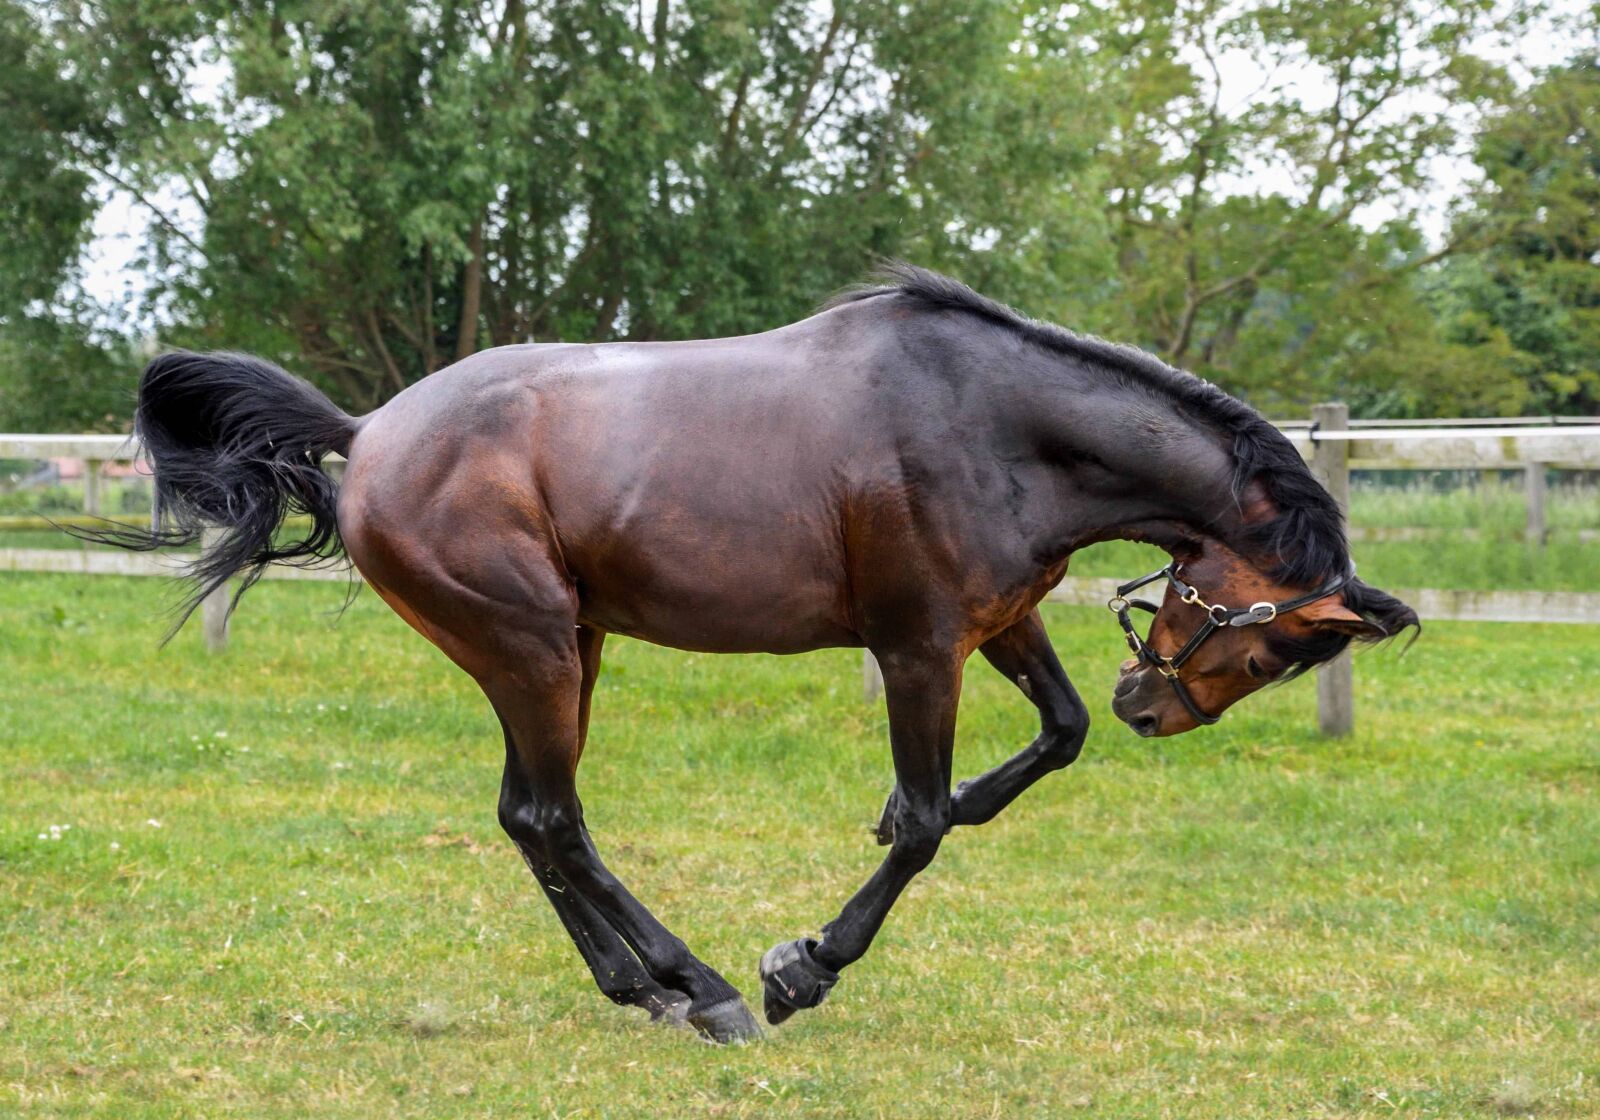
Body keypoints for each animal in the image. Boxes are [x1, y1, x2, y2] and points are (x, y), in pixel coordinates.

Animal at [82, 264, 1418, 1043]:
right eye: (1267, 649)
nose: (1156, 703)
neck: (998, 423)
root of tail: (369, 433)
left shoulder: (996, 623)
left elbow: (1050, 737)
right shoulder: (919, 645)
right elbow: (925, 822)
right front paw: (801, 965)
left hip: (566, 648)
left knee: (530, 818)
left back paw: (643, 988)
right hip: (532, 649)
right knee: (553, 818)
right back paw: (705, 988)